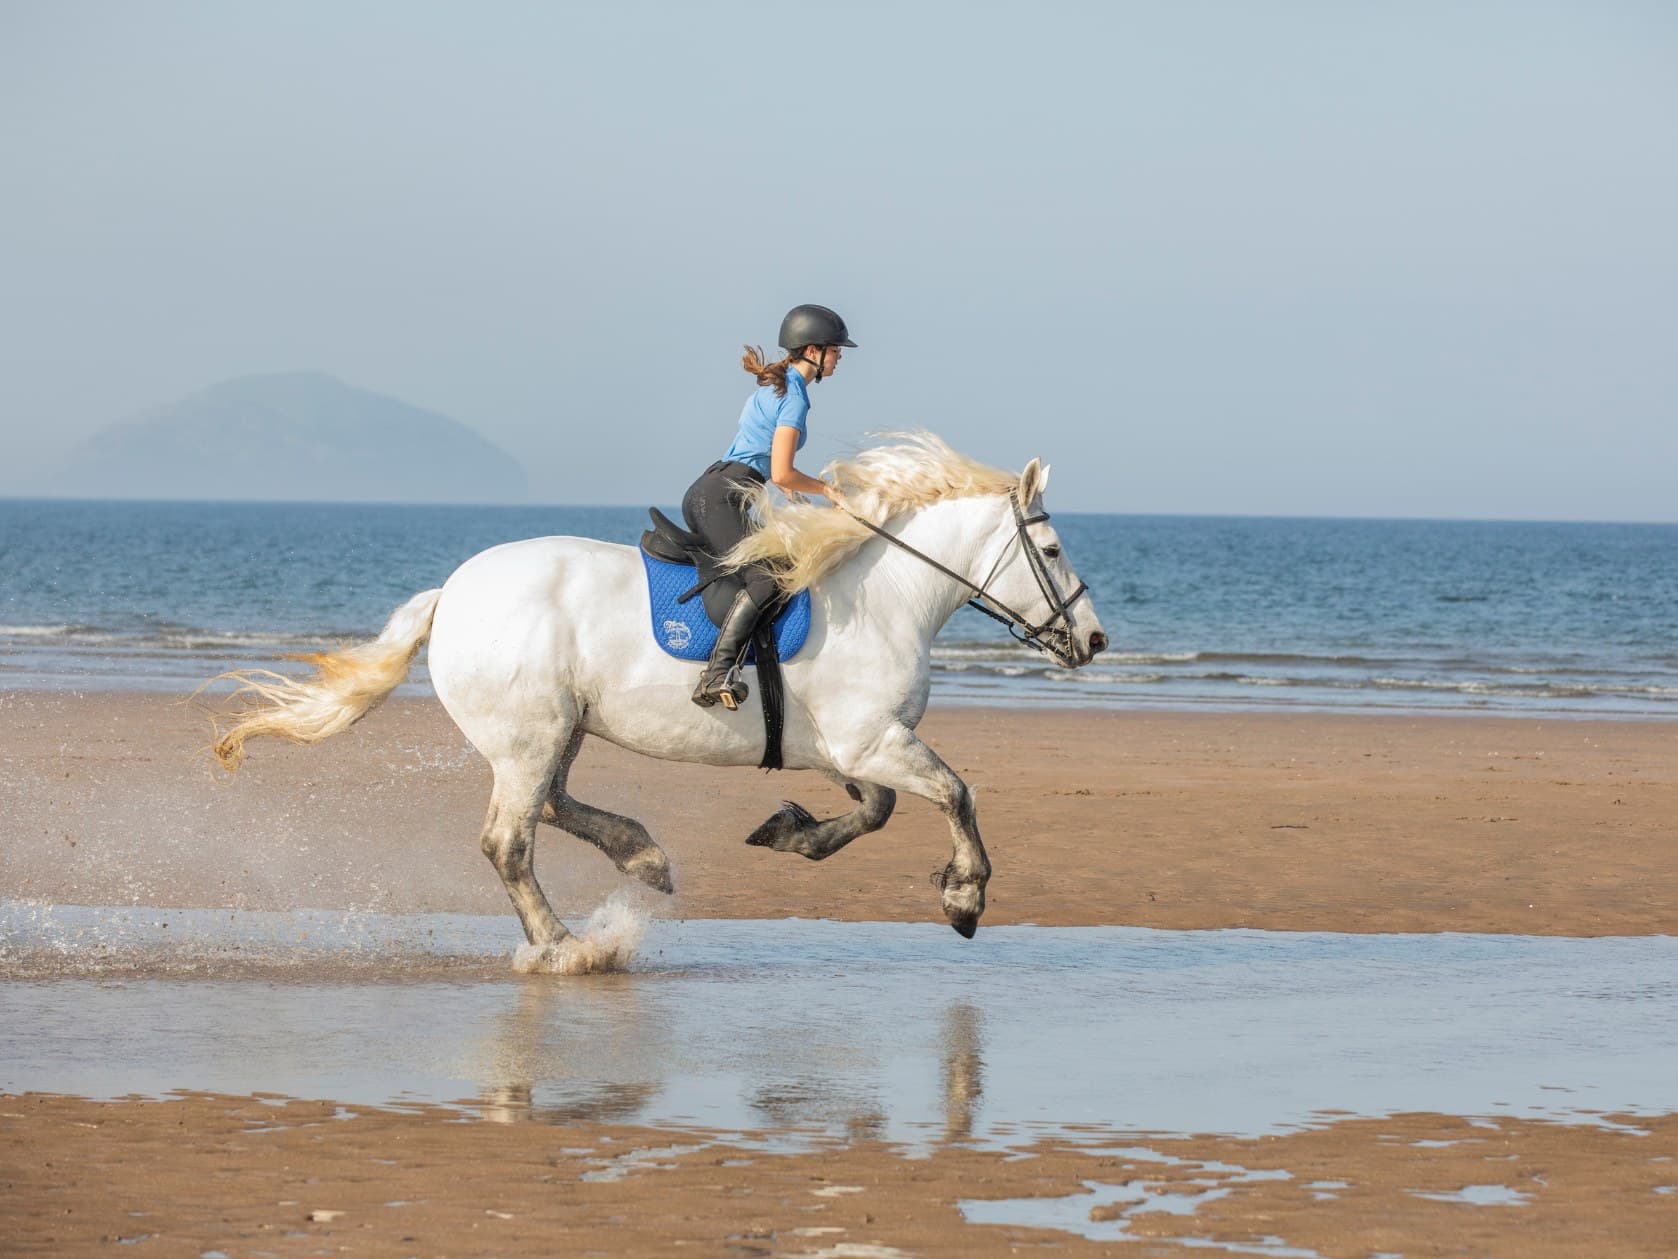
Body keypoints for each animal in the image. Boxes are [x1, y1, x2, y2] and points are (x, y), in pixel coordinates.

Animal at [206, 434, 1107, 970]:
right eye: (1053, 547)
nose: (1094, 641)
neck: (887, 595)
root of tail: (451, 594)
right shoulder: (869, 739)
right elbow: (956, 793)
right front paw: (964, 898)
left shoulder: (849, 748)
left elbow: (876, 810)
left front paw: (791, 832)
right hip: (529, 735)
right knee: (509, 840)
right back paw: (566, 946)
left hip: (558, 729)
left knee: (554, 805)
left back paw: (640, 856)